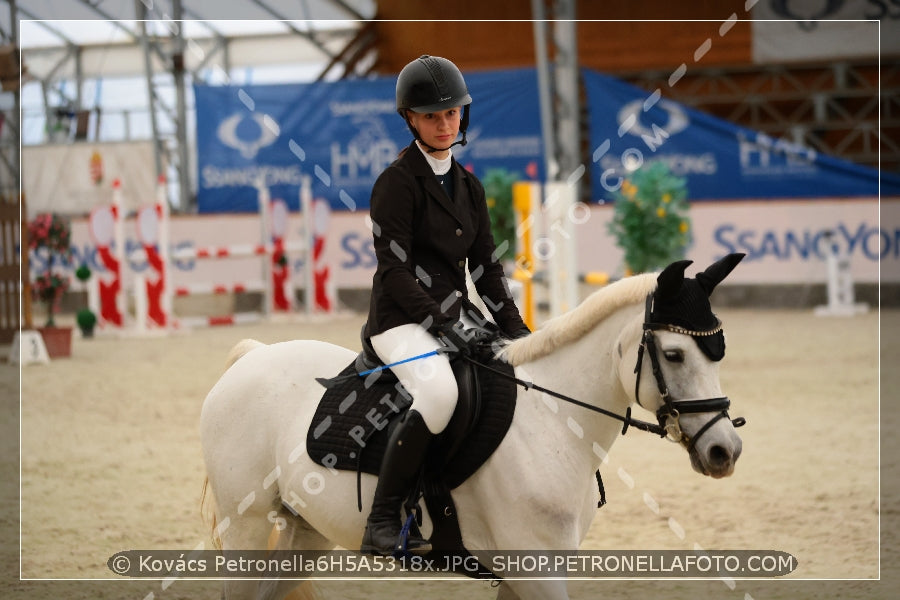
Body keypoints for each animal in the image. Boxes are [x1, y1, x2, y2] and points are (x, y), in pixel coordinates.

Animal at [202, 254, 744, 600]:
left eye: (719, 352)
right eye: (674, 354)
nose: (726, 450)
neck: (552, 423)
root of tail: (252, 357)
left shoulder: (529, 573)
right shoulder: (536, 570)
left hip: (306, 532)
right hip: (247, 526)